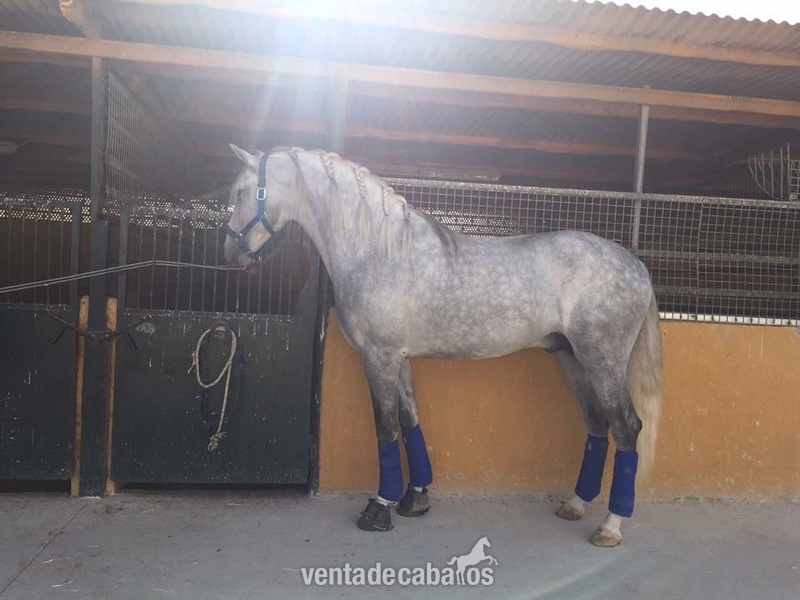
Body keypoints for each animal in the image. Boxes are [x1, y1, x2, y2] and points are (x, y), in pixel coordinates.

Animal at [223, 145, 663, 548]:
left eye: (242, 192)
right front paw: (414, 498)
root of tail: (637, 266)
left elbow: (385, 427)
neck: (381, 251)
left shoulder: (379, 358)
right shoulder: (398, 359)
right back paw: (574, 504)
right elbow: (410, 420)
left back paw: (610, 526)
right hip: (573, 360)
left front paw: (379, 508)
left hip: (603, 360)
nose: (230, 254)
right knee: (598, 425)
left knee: (627, 428)